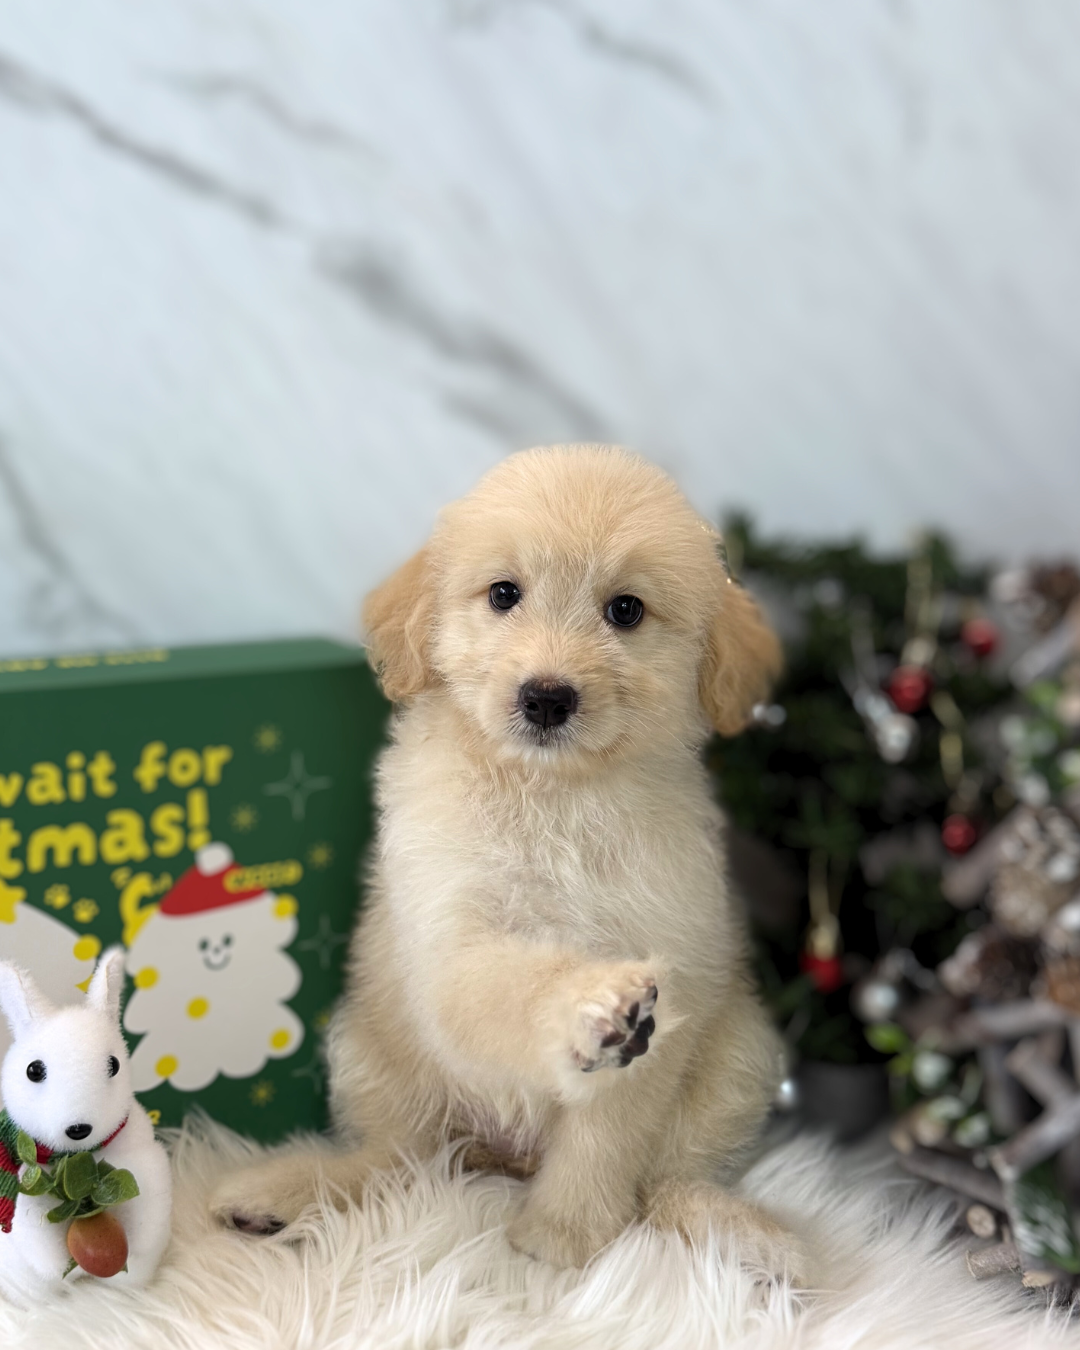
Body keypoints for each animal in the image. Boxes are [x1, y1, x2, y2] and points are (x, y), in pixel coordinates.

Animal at [210, 448, 799, 1279]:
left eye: (626, 610)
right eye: (503, 595)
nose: (546, 697)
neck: (551, 794)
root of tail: (508, 1156)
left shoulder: (671, 978)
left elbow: (605, 1140)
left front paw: (564, 1234)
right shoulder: (453, 943)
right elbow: (516, 983)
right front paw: (592, 1004)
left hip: (738, 1060)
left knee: (663, 1180)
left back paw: (739, 1233)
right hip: (372, 1054)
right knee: (400, 1162)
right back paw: (285, 1193)